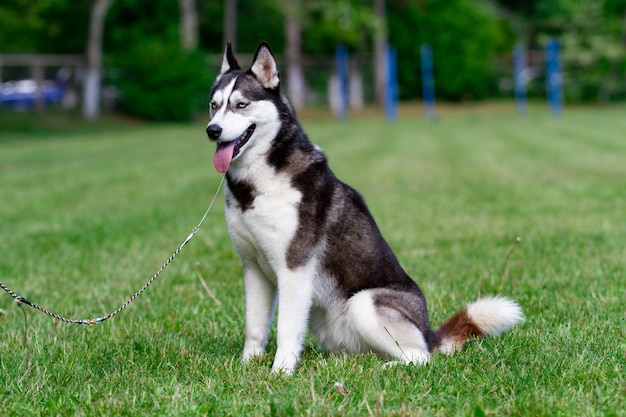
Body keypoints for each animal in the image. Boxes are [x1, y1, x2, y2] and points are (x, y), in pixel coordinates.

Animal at [206, 42, 520, 374]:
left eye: (241, 105)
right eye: (214, 105)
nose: (212, 130)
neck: (256, 184)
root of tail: (428, 332)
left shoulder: (294, 270)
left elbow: (287, 330)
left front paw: (280, 372)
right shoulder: (253, 267)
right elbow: (254, 327)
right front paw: (247, 366)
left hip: (364, 303)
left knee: (420, 356)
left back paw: (389, 368)